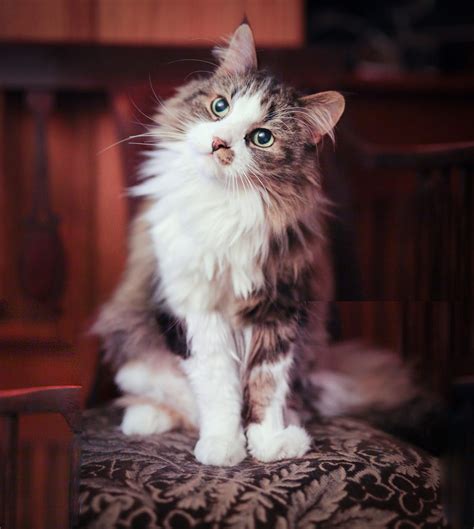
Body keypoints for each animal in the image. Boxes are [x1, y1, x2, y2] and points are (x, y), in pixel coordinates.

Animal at [92, 22, 418, 464]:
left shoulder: (278, 306)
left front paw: (269, 442)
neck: (224, 206)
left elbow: (266, 383)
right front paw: (222, 445)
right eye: (220, 107)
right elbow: (218, 387)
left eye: (262, 138)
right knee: (169, 398)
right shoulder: (195, 308)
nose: (219, 143)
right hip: (133, 347)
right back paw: (146, 419)